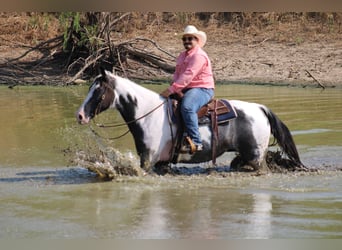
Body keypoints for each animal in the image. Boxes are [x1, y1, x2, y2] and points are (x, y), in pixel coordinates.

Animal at [75, 68, 302, 174]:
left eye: (98, 91)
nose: (80, 115)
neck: (148, 114)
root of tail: (261, 108)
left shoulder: (147, 161)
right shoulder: (161, 163)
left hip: (256, 158)